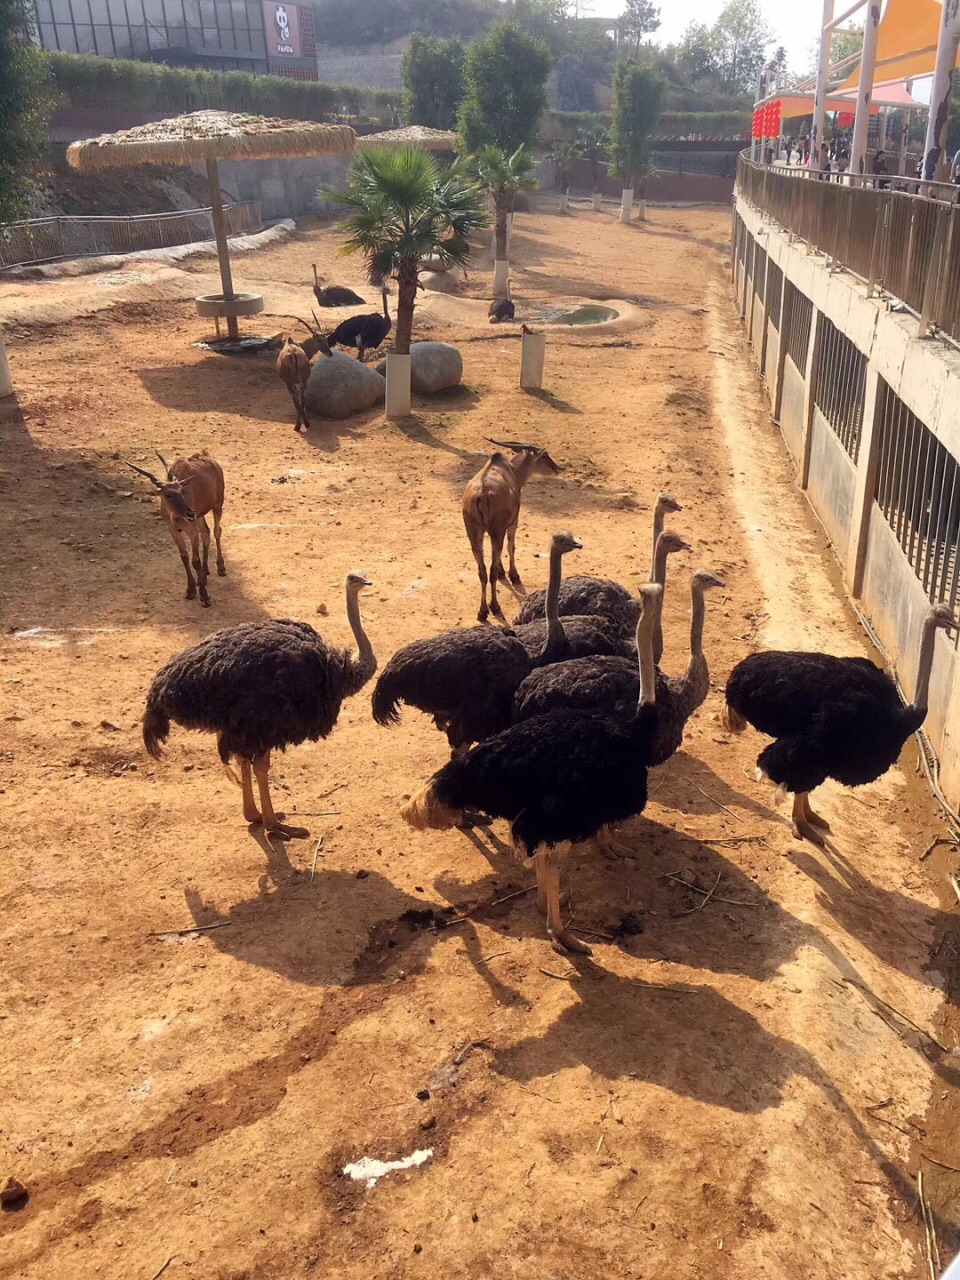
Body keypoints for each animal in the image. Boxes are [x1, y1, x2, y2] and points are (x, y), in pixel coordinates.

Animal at [126, 453, 227, 606]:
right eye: (168, 495)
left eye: (183, 491)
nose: (190, 513)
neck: (175, 517)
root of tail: (213, 461)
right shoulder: (173, 530)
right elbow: (184, 557)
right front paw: (191, 589)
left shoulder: (191, 530)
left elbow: (195, 560)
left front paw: (204, 596)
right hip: (200, 515)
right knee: (206, 532)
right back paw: (204, 575)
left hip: (217, 504)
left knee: (216, 530)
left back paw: (220, 567)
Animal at [460, 437, 560, 622]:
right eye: (545, 456)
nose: (558, 468)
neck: (512, 470)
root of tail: (482, 494)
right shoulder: (513, 521)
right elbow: (511, 546)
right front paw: (514, 576)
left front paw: (502, 572)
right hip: (496, 531)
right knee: (491, 569)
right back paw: (495, 606)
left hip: (475, 534)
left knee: (482, 570)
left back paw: (482, 612)